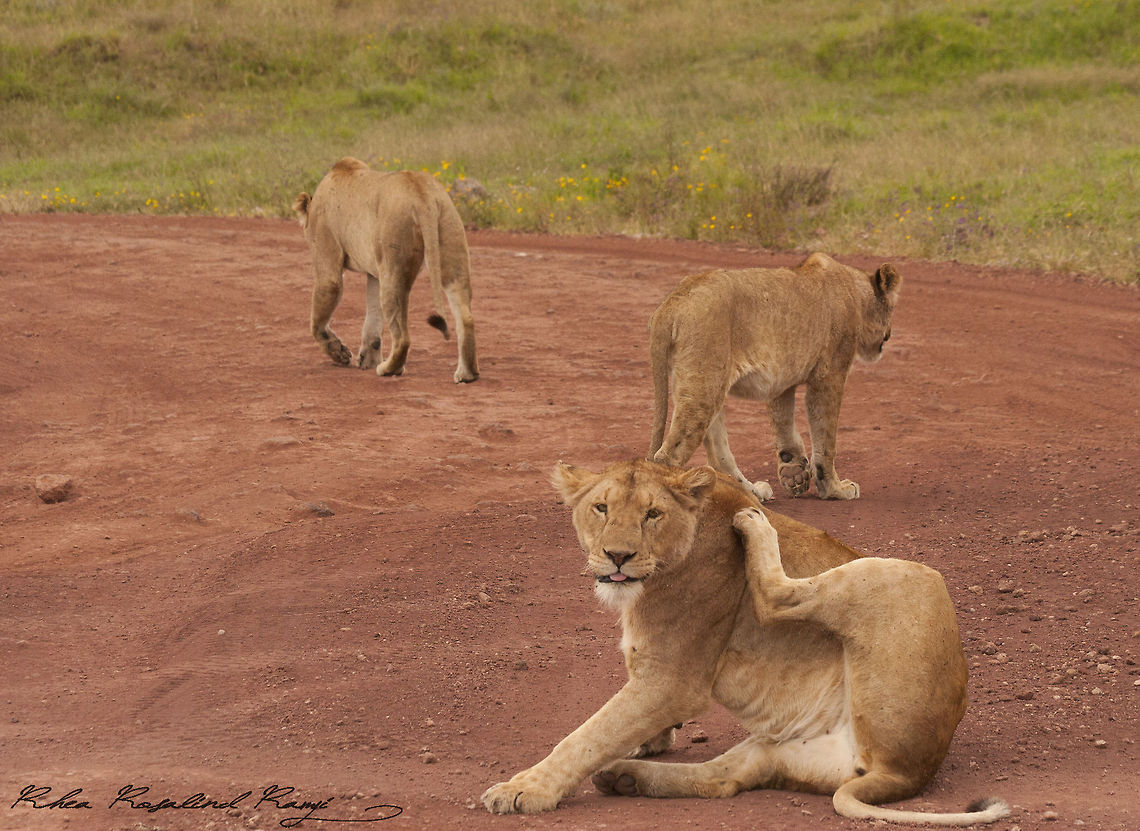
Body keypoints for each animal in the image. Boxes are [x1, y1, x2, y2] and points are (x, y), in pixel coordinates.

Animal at [293, 157, 478, 383]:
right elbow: (373, 319)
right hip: (450, 247)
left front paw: (340, 352)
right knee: (466, 317)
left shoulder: (328, 262)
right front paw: (367, 359)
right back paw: (466, 374)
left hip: (394, 264)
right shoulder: (375, 274)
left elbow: (318, 320)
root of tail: (421, 192)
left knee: (403, 337)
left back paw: (388, 369)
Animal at [482, 459, 1008, 825]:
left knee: (779, 597)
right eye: (601, 508)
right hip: (778, 750)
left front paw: (523, 789)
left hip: (906, 575)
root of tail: (902, 773)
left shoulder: (674, 680)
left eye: (652, 514)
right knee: (722, 780)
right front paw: (648, 743)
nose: (618, 555)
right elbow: (617, 724)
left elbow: (589, 734)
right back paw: (626, 778)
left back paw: (755, 521)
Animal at [649, 253, 901, 501]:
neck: (856, 293)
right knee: (668, 457)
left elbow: (784, 425)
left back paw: (753, 492)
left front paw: (795, 473)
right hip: (703, 386)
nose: (888, 335)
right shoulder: (830, 375)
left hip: (707, 386)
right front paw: (835, 489)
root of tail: (672, 303)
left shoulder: (781, 382)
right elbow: (826, 437)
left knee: (718, 454)